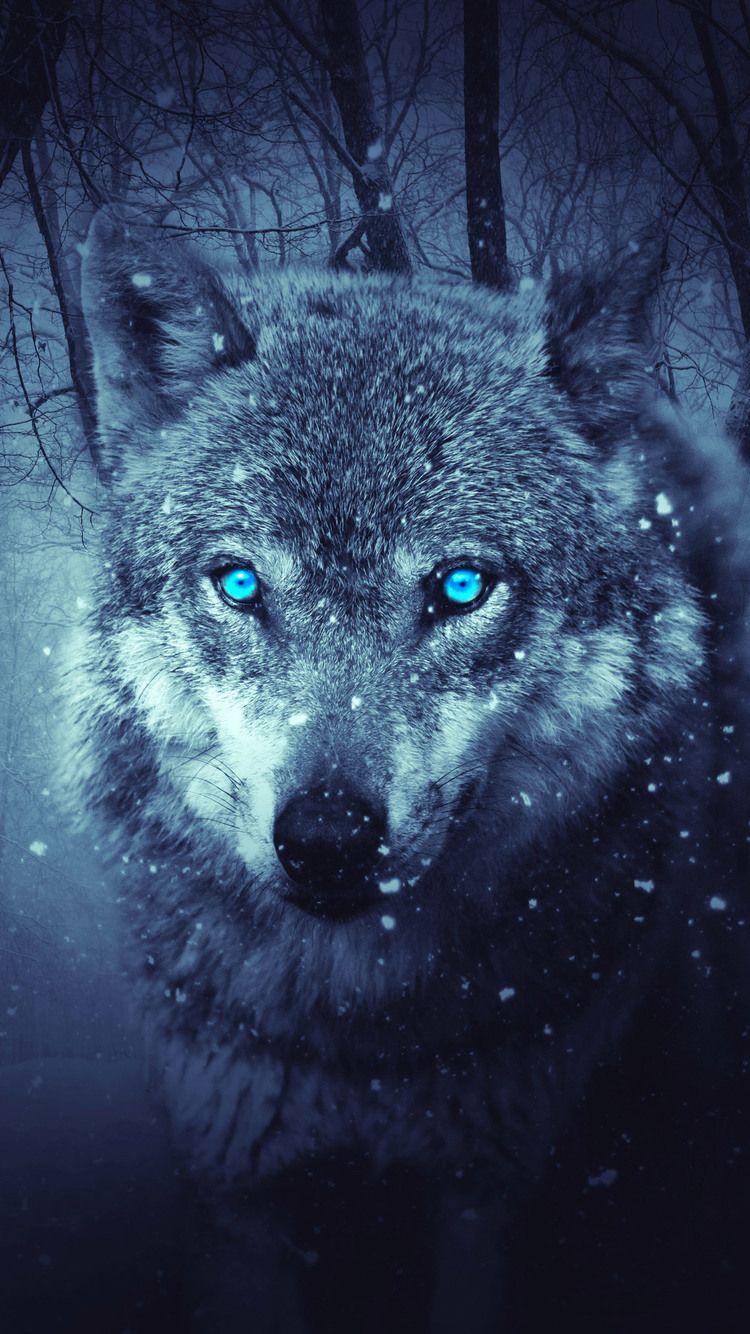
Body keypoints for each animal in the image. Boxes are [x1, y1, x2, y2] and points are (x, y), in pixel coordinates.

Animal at [67, 206, 749, 1331]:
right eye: (241, 584)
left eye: (461, 586)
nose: (328, 839)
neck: (360, 1040)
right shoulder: (237, 1188)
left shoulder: (486, 1189)